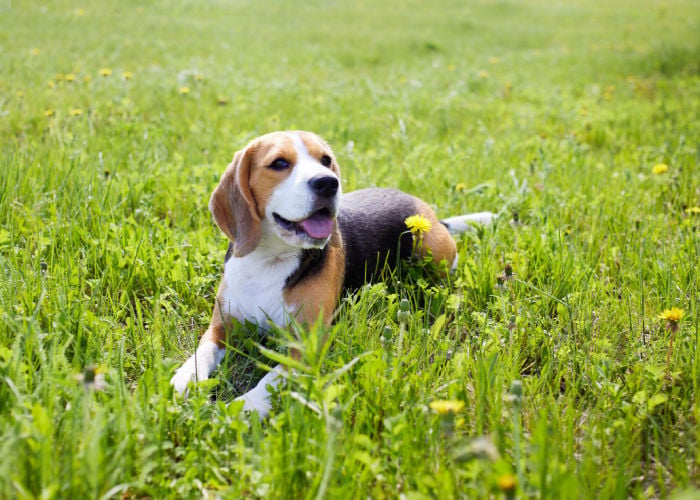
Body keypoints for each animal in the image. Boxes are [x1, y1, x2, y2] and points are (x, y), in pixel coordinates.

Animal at [172, 131, 494, 416]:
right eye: (279, 163)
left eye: (326, 160)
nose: (328, 183)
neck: (270, 261)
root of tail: (431, 216)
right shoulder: (221, 327)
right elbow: (202, 352)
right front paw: (182, 381)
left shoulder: (306, 345)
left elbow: (269, 380)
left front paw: (243, 408)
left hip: (430, 249)